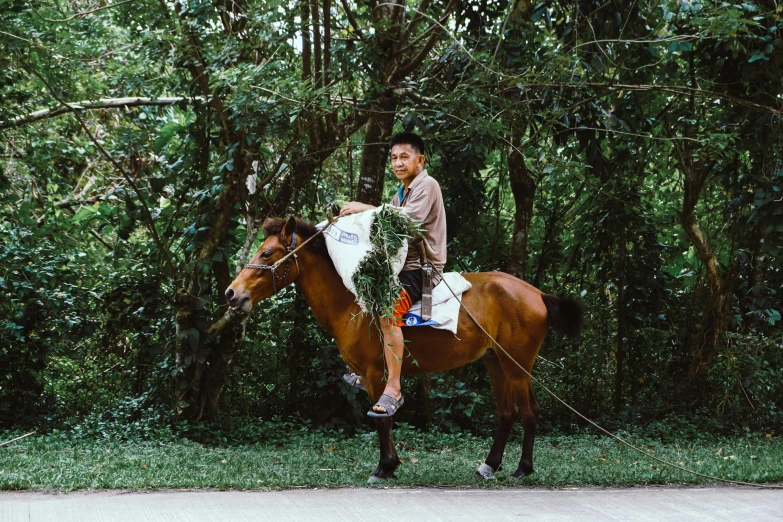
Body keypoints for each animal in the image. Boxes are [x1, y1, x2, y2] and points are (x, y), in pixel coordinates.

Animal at [227, 216, 580, 480]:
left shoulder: (375, 372)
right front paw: (390, 464)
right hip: (495, 361)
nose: (232, 293)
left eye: (267, 254)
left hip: (517, 364)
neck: (351, 304)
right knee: (506, 414)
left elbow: (382, 417)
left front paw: (385, 466)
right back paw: (489, 465)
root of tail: (538, 294)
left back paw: (523, 469)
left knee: (530, 412)